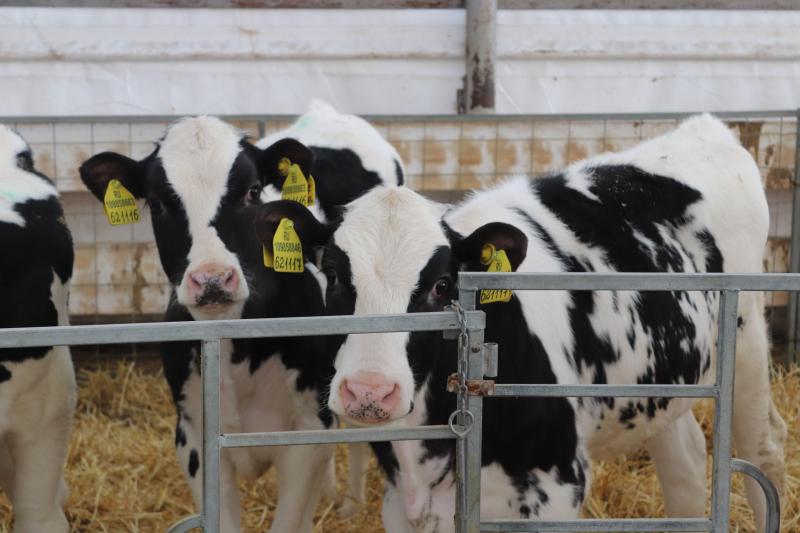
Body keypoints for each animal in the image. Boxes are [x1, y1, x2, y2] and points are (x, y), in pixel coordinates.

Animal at [78, 102, 404, 531]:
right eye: (159, 203)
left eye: (252, 192)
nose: (212, 279)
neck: (237, 352)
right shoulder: (193, 437)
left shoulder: (305, 431)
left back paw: (350, 503)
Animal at [254, 114, 787, 533]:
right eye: (334, 273)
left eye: (442, 285)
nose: (368, 390)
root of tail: (703, 128)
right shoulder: (401, 503)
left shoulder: (557, 487)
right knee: (687, 460)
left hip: (748, 344)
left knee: (766, 450)